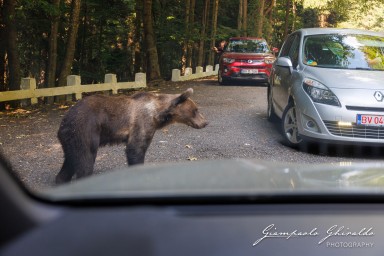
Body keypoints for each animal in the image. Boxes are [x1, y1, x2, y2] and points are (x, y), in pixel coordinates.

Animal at [54, 88, 207, 184]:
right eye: (195, 110)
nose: (205, 122)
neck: (158, 113)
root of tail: (64, 120)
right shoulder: (141, 123)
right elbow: (135, 150)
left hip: (71, 139)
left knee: (71, 160)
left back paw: (61, 180)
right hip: (85, 131)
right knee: (85, 160)